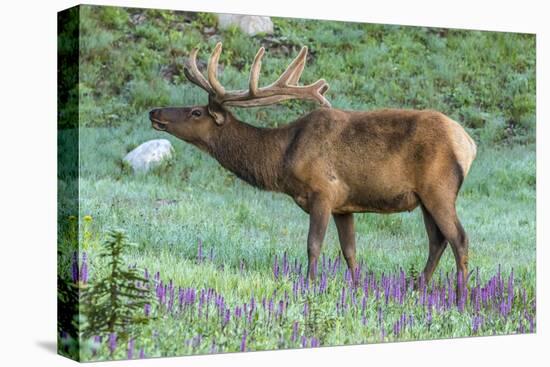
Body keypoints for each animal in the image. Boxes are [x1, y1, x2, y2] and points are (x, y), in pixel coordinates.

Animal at [151, 42, 478, 290]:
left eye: (196, 112)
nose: (154, 112)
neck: (282, 158)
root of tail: (469, 143)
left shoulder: (323, 192)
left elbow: (313, 245)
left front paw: (309, 286)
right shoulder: (344, 205)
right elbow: (350, 251)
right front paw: (357, 289)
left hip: (439, 189)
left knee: (459, 239)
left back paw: (461, 298)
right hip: (424, 198)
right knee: (437, 241)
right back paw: (417, 289)